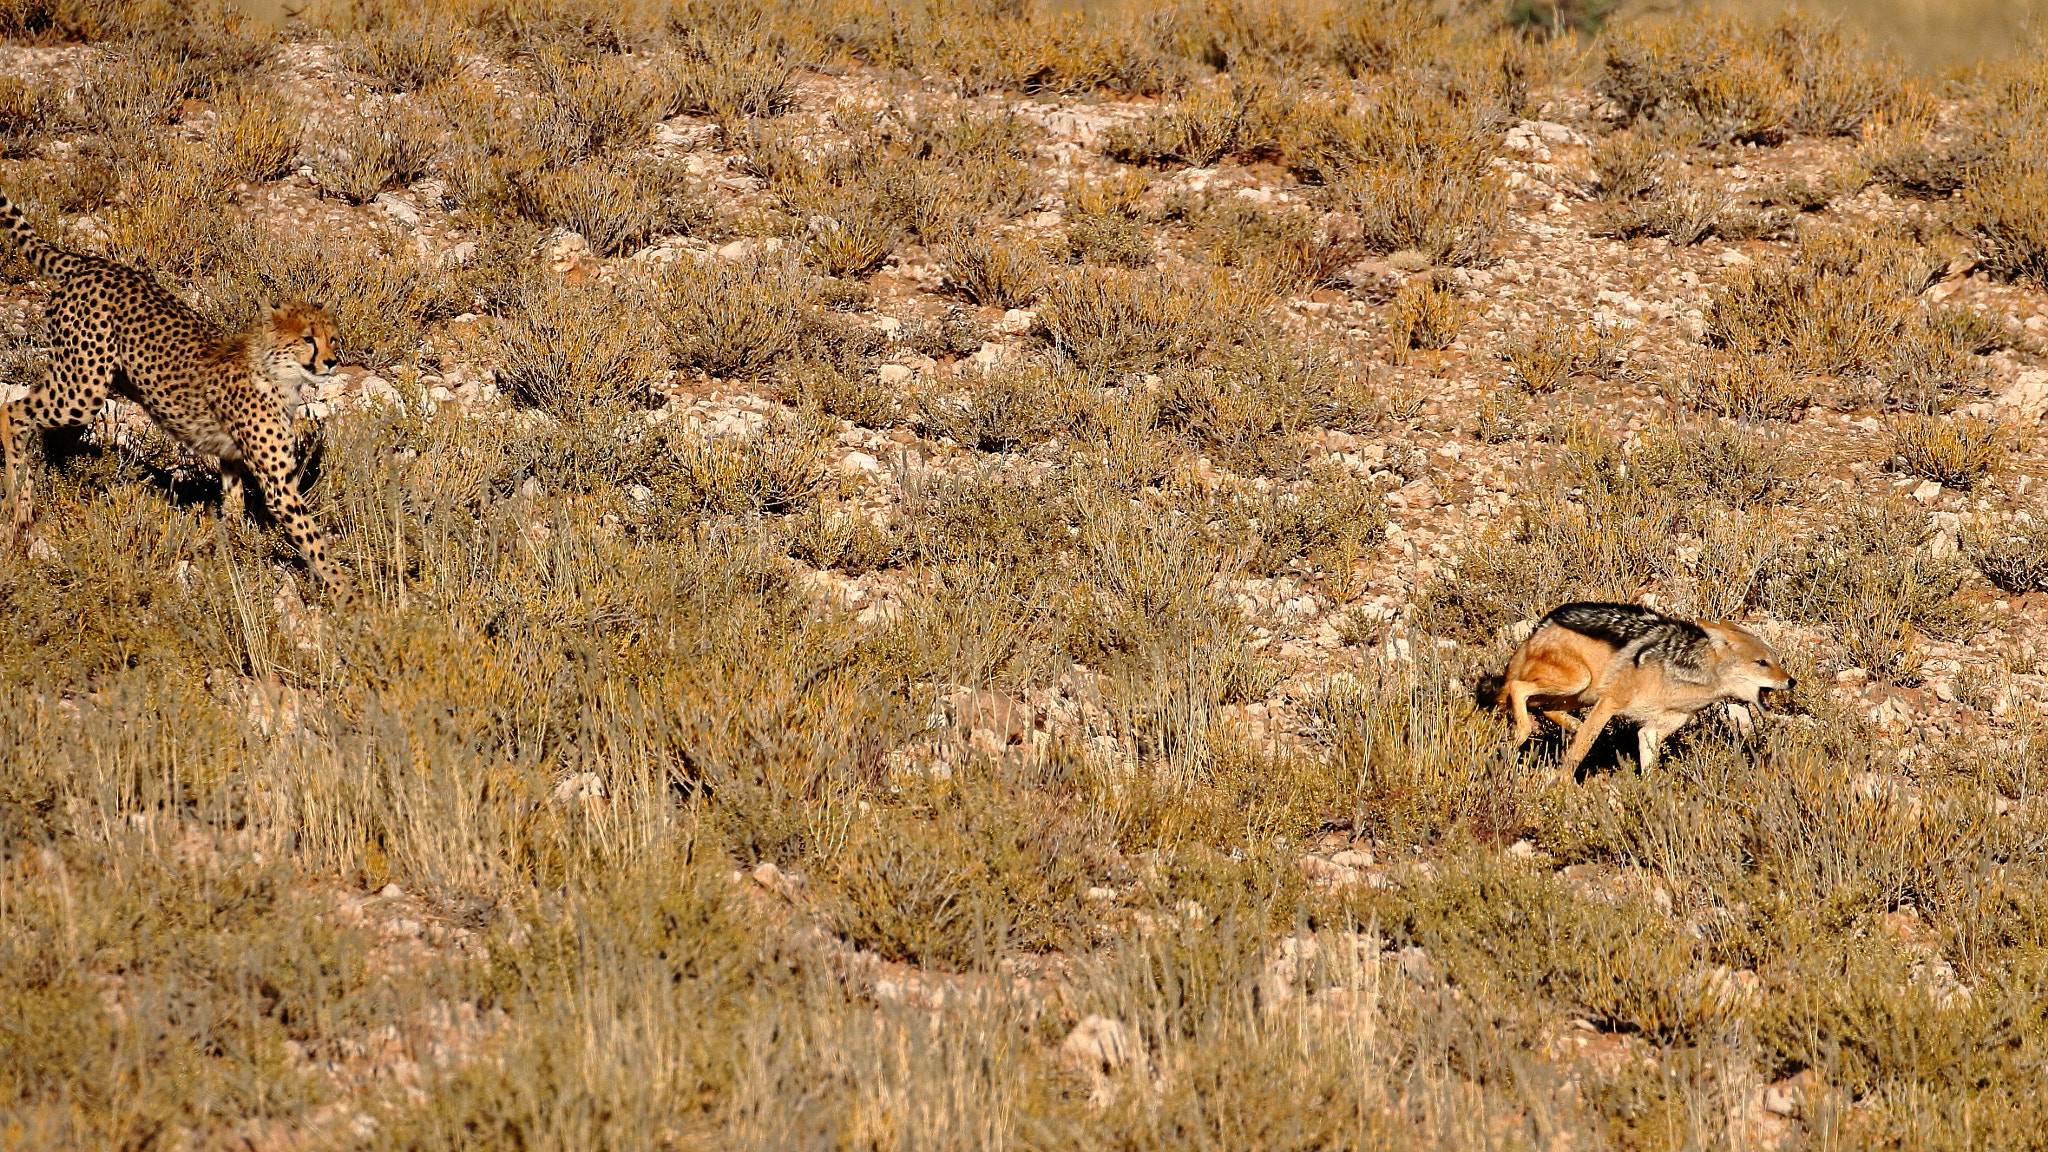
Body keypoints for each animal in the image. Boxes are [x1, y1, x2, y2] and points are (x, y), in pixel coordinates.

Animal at [0, 190, 351, 599]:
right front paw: (349, 595)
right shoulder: (279, 486)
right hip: (82, 390)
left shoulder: (231, 459)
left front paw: (235, 554)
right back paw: (16, 506)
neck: (276, 373)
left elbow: (233, 507)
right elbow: (313, 541)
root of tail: (92, 262)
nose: (331, 362)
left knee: (42, 430)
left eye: (333, 338)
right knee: (14, 411)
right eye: (308, 339)